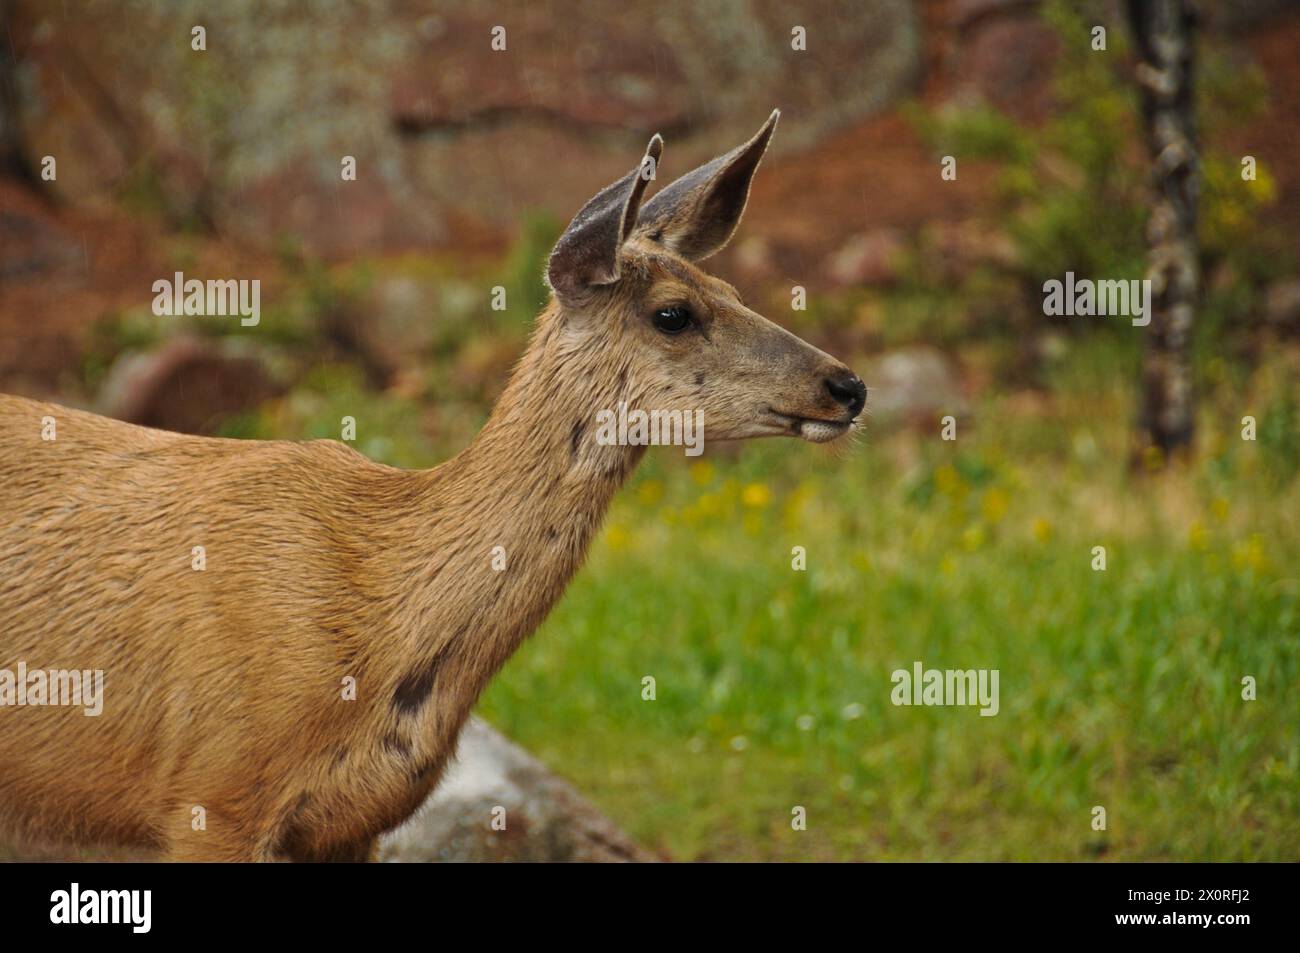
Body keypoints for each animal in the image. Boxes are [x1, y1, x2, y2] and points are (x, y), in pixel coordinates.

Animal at [5, 107, 868, 858]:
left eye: (736, 293)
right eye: (674, 313)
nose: (848, 386)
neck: (379, 608)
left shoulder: (352, 823)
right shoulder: (211, 792)